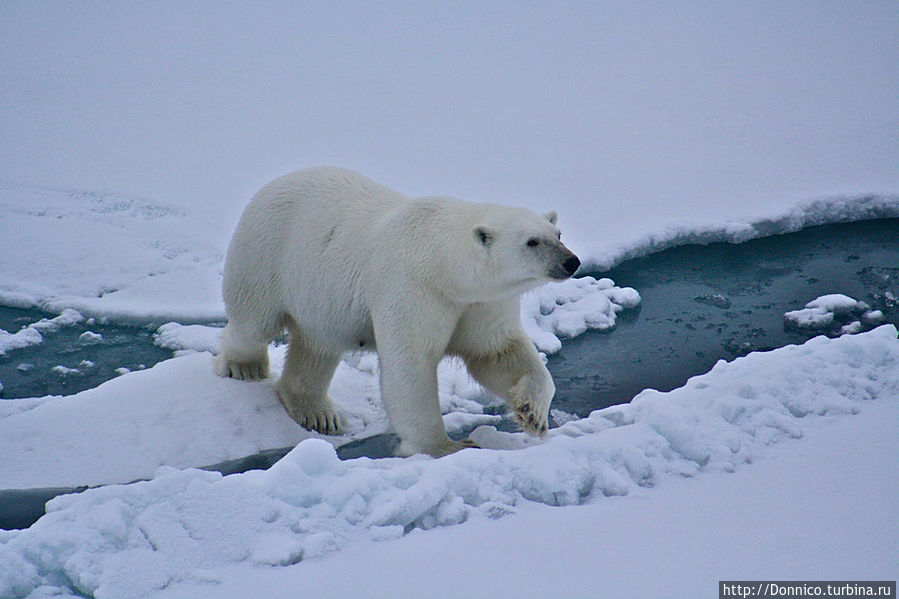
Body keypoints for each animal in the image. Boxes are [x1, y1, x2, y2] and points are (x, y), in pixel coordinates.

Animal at [218, 166, 584, 458]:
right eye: (532, 242)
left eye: (558, 233)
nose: (571, 261)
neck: (441, 263)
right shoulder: (413, 289)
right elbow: (411, 365)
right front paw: (448, 446)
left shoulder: (480, 303)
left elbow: (496, 352)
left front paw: (532, 414)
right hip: (268, 252)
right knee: (253, 320)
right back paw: (245, 367)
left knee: (318, 346)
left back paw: (318, 413)